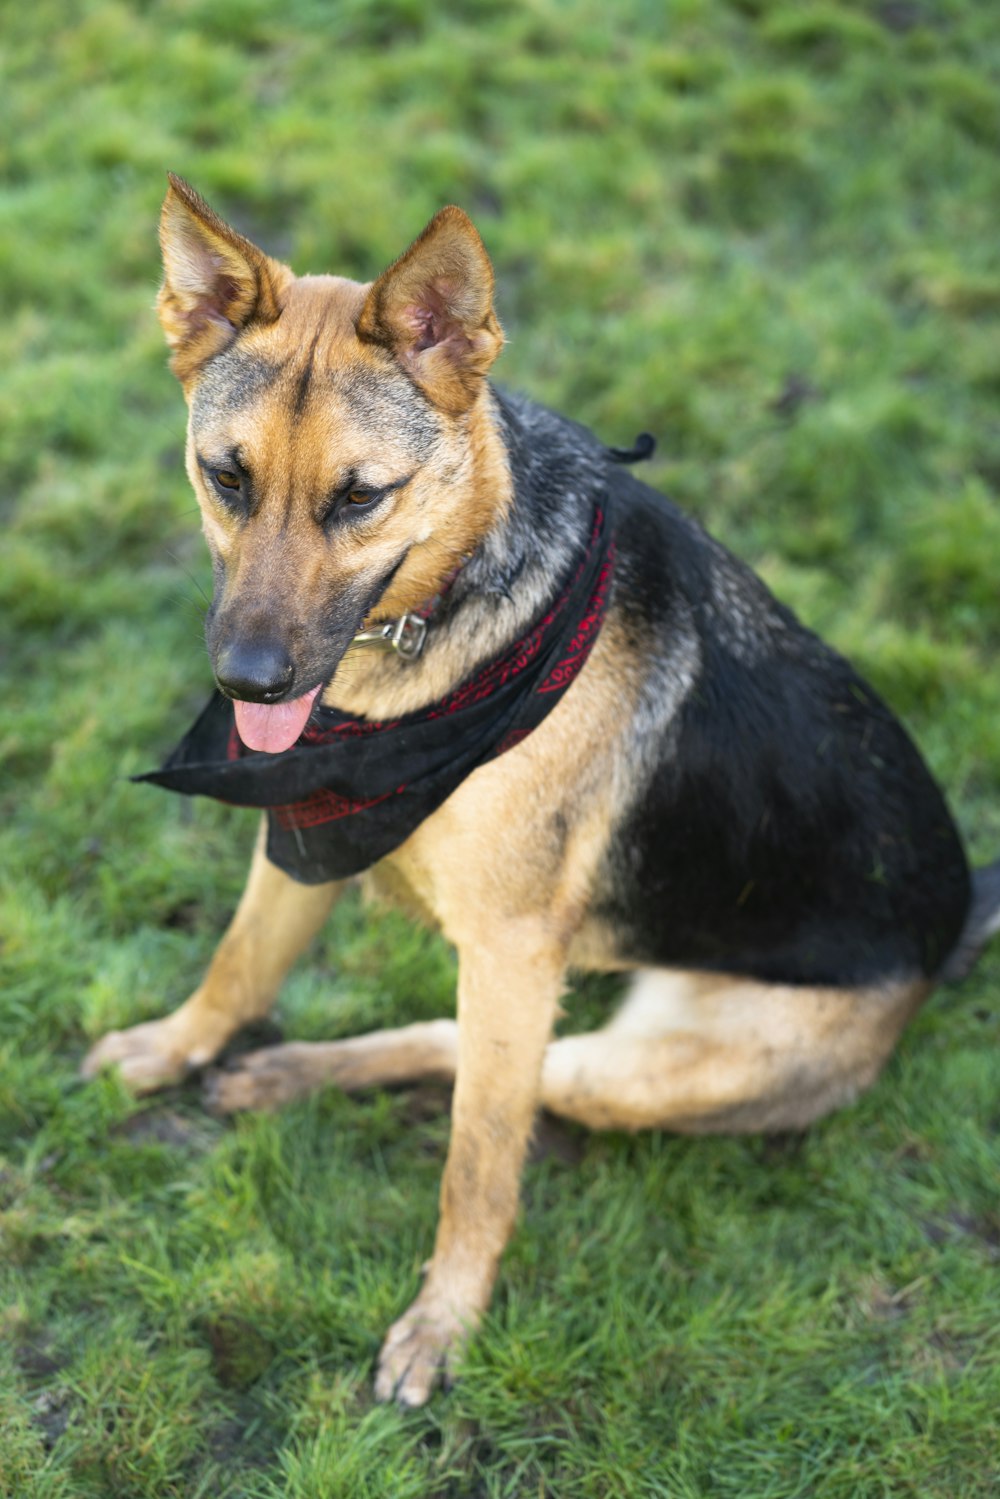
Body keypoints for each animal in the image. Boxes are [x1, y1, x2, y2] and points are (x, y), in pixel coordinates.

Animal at [80, 175, 1000, 1403]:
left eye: (360, 498)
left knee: (503, 1081)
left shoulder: (512, 948)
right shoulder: (304, 840)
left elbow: (478, 1163)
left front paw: (443, 1321)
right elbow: (238, 963)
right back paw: (283, 1070)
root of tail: (948, 924)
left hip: (647, 1065)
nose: (248, 682)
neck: (439, 627)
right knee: (466, 1049)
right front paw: (175, 1045)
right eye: (227, 477)